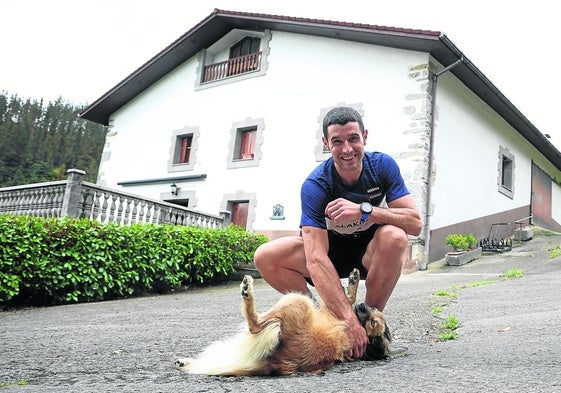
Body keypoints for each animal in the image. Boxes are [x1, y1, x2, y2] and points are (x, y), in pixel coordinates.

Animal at [174, 268, 390, 376]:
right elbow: (348, 298)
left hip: (296, 301)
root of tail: (278, 364)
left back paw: (247, 291)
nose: (364, 305)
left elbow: (347, 299)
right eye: (375, 314)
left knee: (254, 325)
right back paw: (186, 361)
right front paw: (353, 281)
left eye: (373, 323)